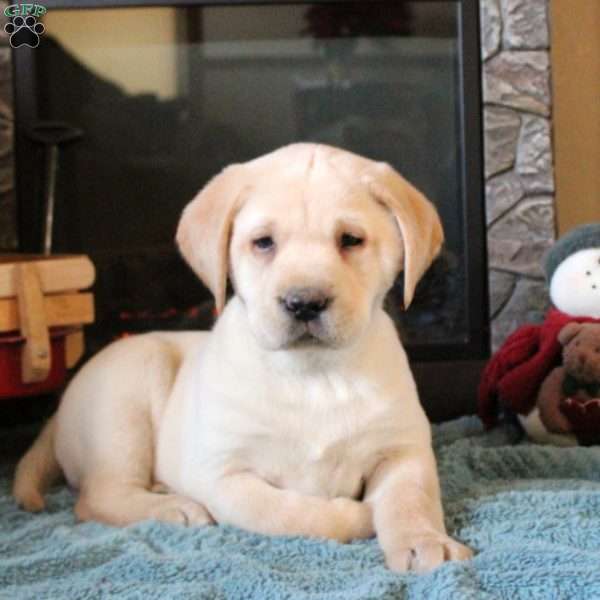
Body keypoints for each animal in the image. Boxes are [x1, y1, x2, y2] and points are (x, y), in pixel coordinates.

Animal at [11, 144, 474, 572]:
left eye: (351, 240)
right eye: (263, 242)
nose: (304, 303)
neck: (314, 376)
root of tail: (57, 416)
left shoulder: (403, 452)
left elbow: (411, 500)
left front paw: (424, 542)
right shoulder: (223, 475)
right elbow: (290, 513)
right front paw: (357, 515)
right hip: (131, 388)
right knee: (98, 497)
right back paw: (175, 507)